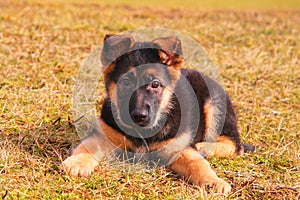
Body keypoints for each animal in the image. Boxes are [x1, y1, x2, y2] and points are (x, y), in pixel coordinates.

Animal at [62, 34, 254, 194]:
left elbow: (198, 164)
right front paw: (77, 162)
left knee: (236, 146)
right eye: (125, 82)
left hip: (214, 105)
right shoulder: (104, 135)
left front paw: (214, 181)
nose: (139, 116)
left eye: (155, 84)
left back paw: (204, 147)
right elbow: (88, 146)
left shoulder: (179, 148)